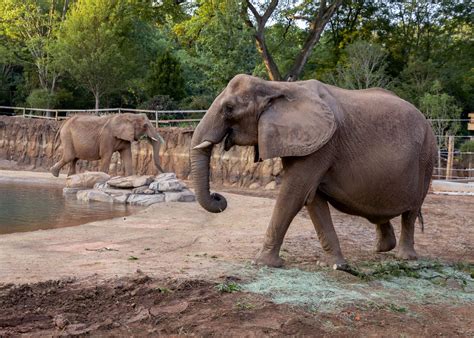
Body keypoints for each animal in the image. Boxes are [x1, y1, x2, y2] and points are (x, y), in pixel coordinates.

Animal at [189, 74, 436, 270]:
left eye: (229, 109)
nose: (219, 197)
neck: (275, 86)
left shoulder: (322, 146)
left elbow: (294, 194)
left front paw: (262, 263)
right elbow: (312, 200)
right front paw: (334, 265)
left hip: (426, 157)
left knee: (412, 212)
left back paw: (405, 258)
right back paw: (382, 248)